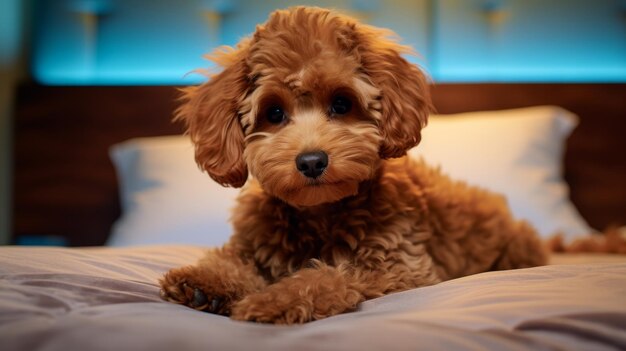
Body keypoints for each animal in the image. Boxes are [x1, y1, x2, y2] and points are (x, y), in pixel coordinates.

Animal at [157, 6, 544, 324]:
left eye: (341, 104)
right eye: (275, 113)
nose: (312, 161)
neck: (319, 213)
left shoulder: (403, 269)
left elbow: (326, 276)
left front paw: (273, 301)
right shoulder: (253, 245)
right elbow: (232, 261)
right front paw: (205, 282)